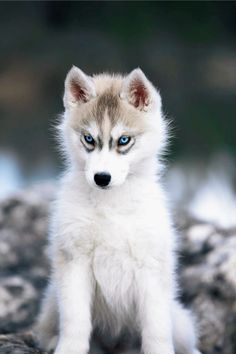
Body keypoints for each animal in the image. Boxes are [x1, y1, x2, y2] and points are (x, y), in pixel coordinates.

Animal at [35, 67, 201, 354]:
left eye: (124, 140)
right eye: (89, 139)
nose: (102, 178)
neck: (110, 203)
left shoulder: (151, 267)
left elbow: (156, 328)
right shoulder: (74, 260)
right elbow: (75, 320)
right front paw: (69, 348)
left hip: (179, 319)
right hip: (52, 299)